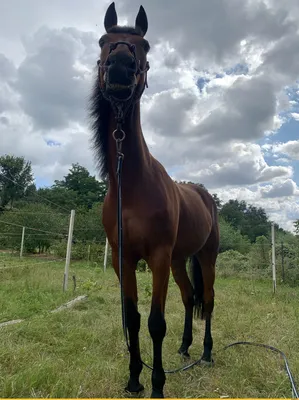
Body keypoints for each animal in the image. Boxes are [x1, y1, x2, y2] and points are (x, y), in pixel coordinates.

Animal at [89, 2, 220, 396]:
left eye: (144, 45)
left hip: (204, 256)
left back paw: (206, 353)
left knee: (208, 299)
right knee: (189, 296)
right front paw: (134, 379)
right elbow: (132, 318)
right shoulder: (125, 258)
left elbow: (155, 323)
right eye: (103, 40)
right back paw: (185, 347)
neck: (133, 186)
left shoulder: (159, 257)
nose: (120, 65)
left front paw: (158, 385)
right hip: (180, 261)